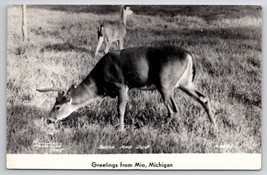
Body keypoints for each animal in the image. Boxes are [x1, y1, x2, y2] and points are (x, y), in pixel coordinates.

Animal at [37, 45, 218, 131]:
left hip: (165, 83)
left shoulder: (122, 85)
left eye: (57, 106)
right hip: (185, 83)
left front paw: (121, 130)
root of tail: (189, 55)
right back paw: (214, 126)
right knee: (203, 98)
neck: (99, 83)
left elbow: (120, 109)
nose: (49, 120)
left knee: (174, 110)